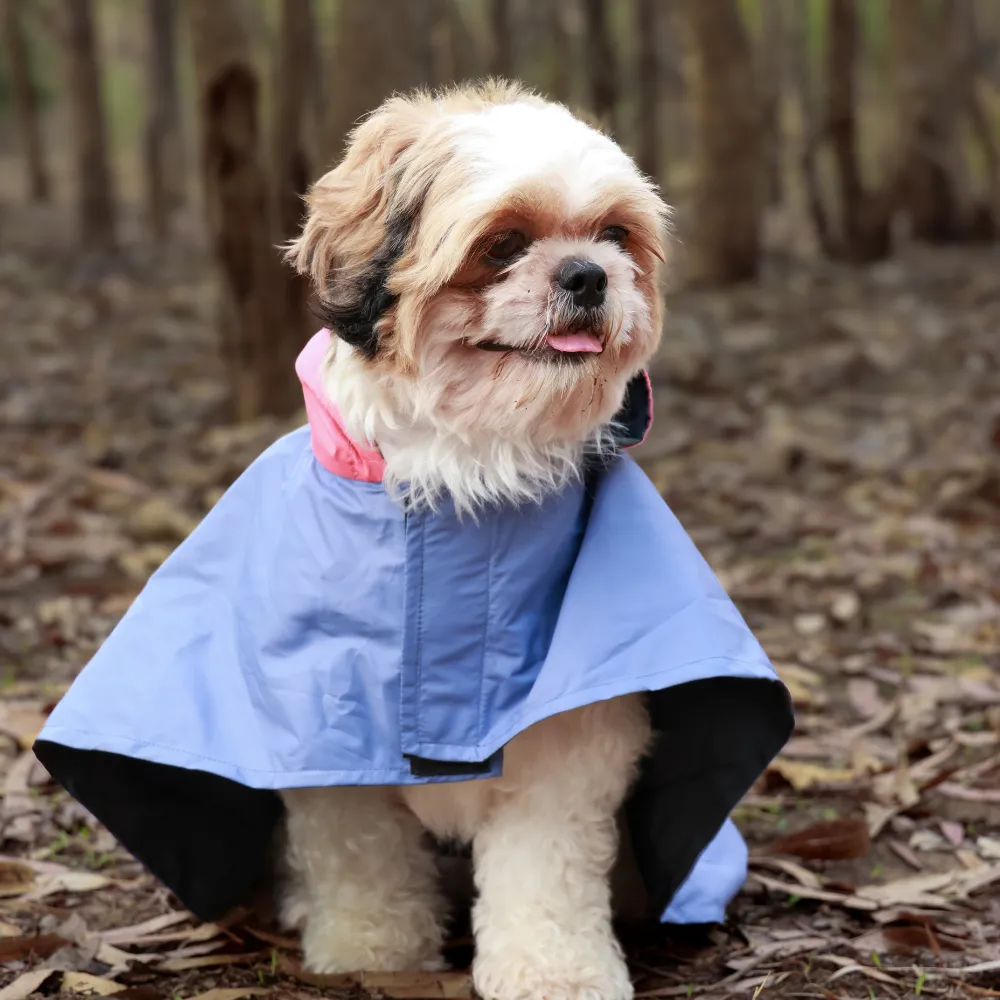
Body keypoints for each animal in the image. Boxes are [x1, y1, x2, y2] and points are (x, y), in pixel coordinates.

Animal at [278, 82, 668, 996]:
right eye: (504, 244)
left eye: (615, 236)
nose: (587, 274)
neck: (473, 472)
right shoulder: (331, 732)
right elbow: (359, 852)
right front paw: (371, 950)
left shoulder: (567, 741)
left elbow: (544, 868)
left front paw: (556, 972)